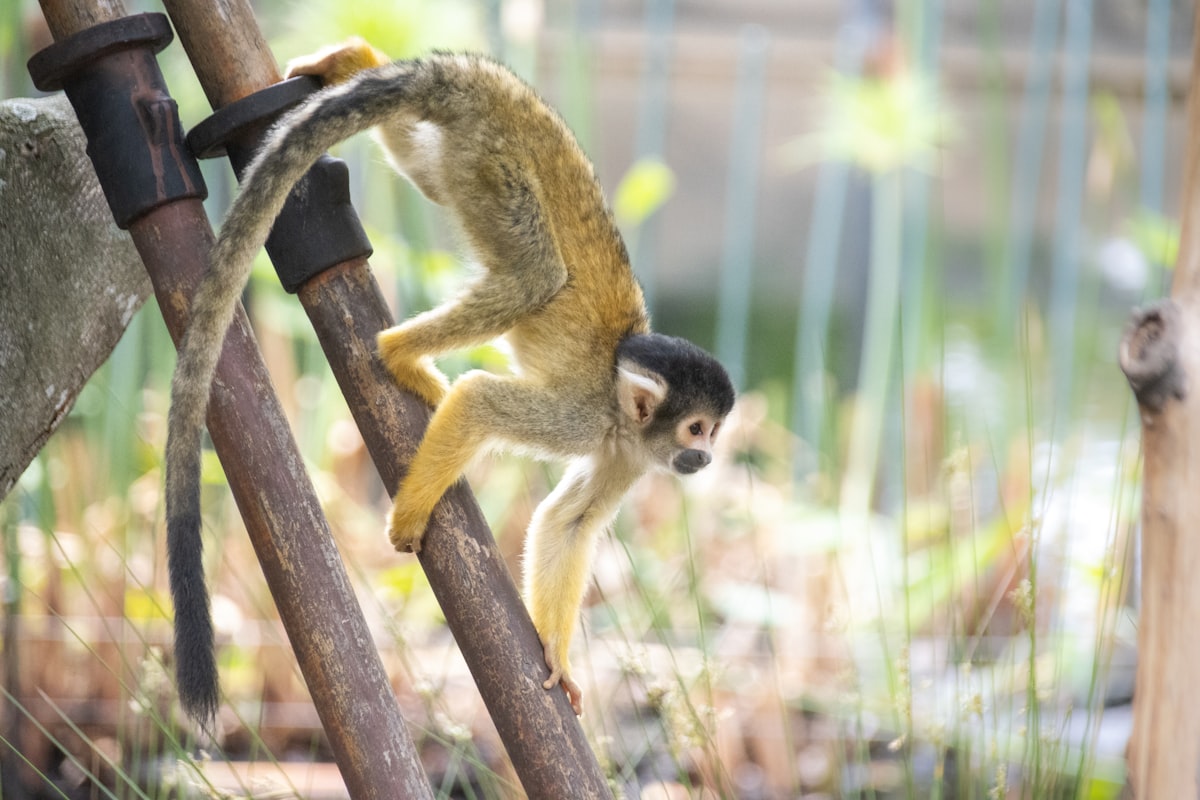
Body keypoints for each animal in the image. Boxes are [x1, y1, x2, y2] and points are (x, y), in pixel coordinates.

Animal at [165, 38, 735, 722]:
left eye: (714, 433)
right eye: (697, 429)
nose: (705, 456)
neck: (625, 420)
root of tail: (489, 87)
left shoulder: (629, 455)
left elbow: (567, 523)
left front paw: (556, 656)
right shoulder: (587, 419)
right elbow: (481, 400)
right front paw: (409, 514)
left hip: (468, 153)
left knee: (430, 173)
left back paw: (354, 59)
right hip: (496, 165)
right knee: (533, 275)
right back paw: (398, 353)